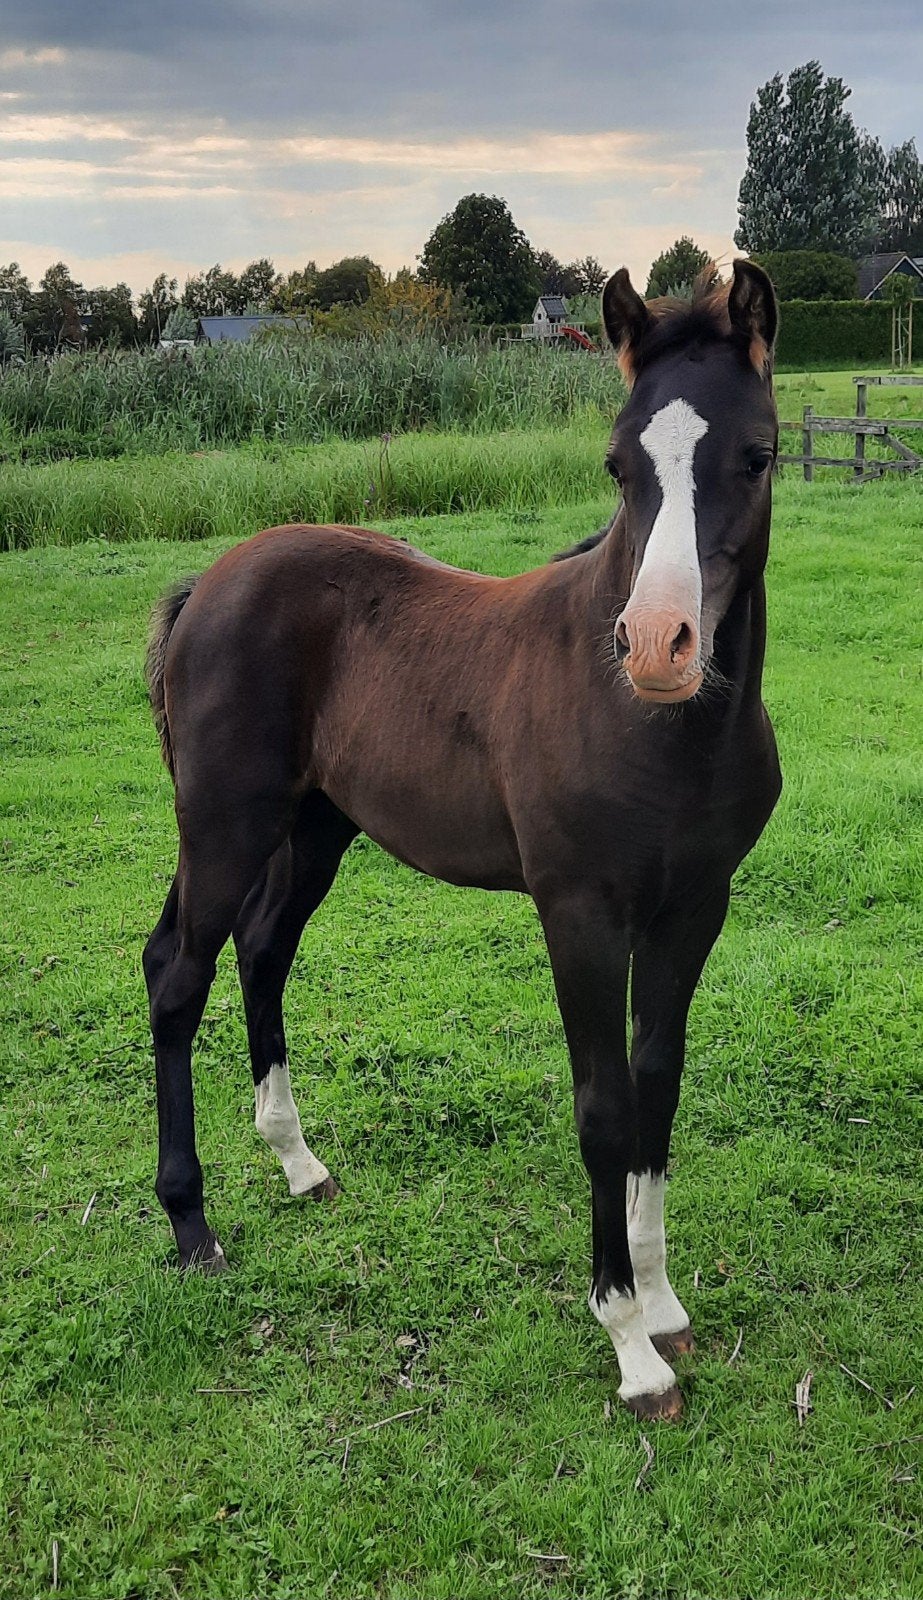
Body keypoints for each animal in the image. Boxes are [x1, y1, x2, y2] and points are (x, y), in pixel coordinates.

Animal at [143, 260, 781, 1421]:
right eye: (617, 464)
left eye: (753, 454)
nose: (657, 646)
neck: (655, 729)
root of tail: (207, 582)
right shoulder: (579, 913)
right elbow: (602, 1106)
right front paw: (629, 1344)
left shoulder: (693, 907)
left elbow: (657, 1085)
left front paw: (664, 1301)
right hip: (224, 825)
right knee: (179, 974)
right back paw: (191, 1224)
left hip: (315, 829)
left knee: (263, 953)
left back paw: (298, 1164)